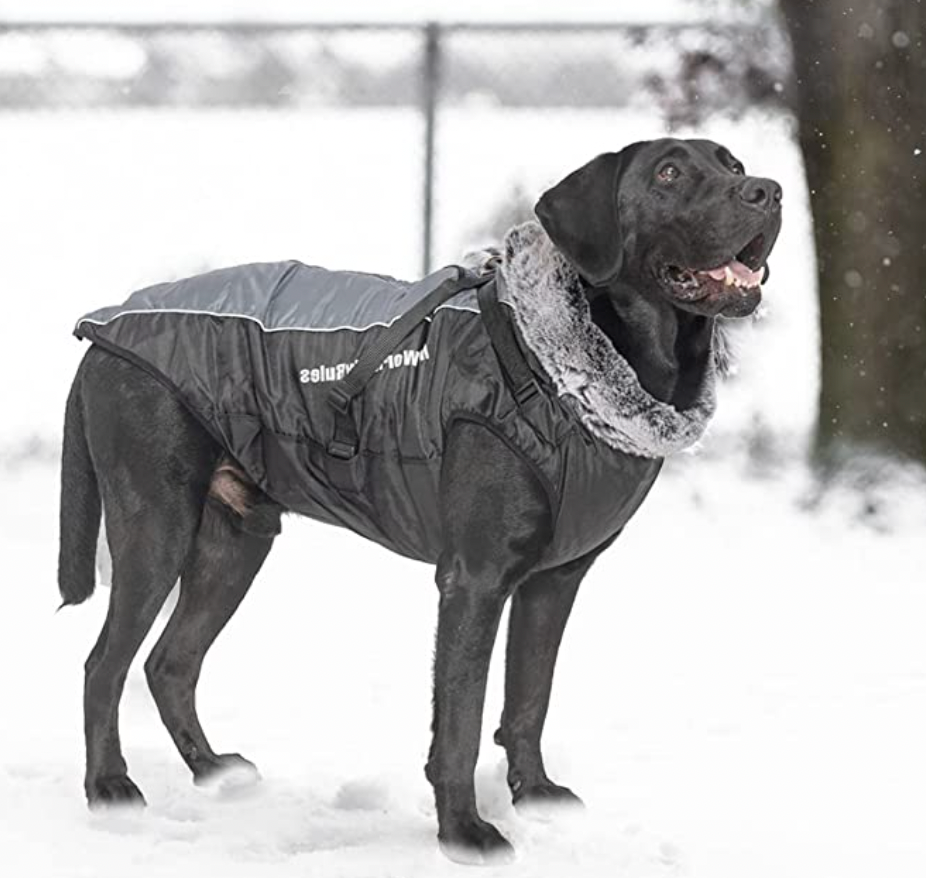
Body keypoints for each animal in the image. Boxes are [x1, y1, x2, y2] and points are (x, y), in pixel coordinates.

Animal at [58, 139, 784, 868]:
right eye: (669, 172)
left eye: (732, 163)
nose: (770, 191)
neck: (565, 371)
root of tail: (100, 330)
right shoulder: (474, 580)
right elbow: (460, 720)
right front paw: (464, 832)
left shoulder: (554, 580)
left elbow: (529, 697)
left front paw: (533, 793)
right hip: (157, 525)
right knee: (103, 663)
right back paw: (109, 786)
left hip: (235, 538)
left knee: (169, 662)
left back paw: (211, 770)